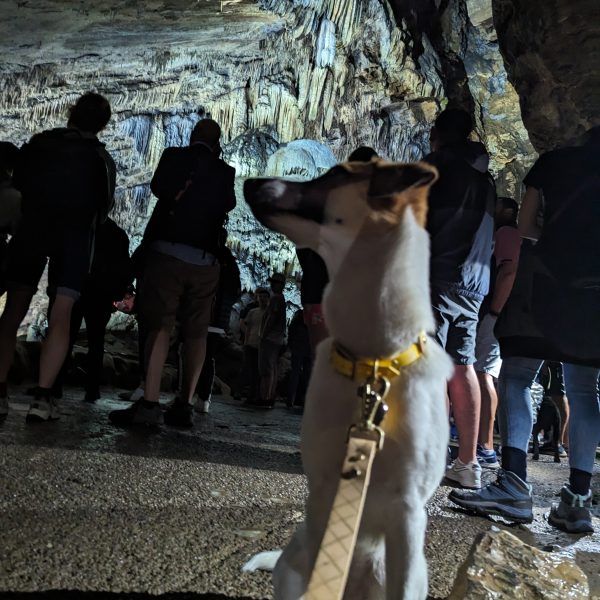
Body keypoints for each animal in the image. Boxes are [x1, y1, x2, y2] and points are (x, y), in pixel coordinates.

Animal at [243, 161, 450, 600]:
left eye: (337, 172)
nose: (247, 180)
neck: (372, 360)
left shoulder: (407, 512)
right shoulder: (323, 491)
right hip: (293, 566)